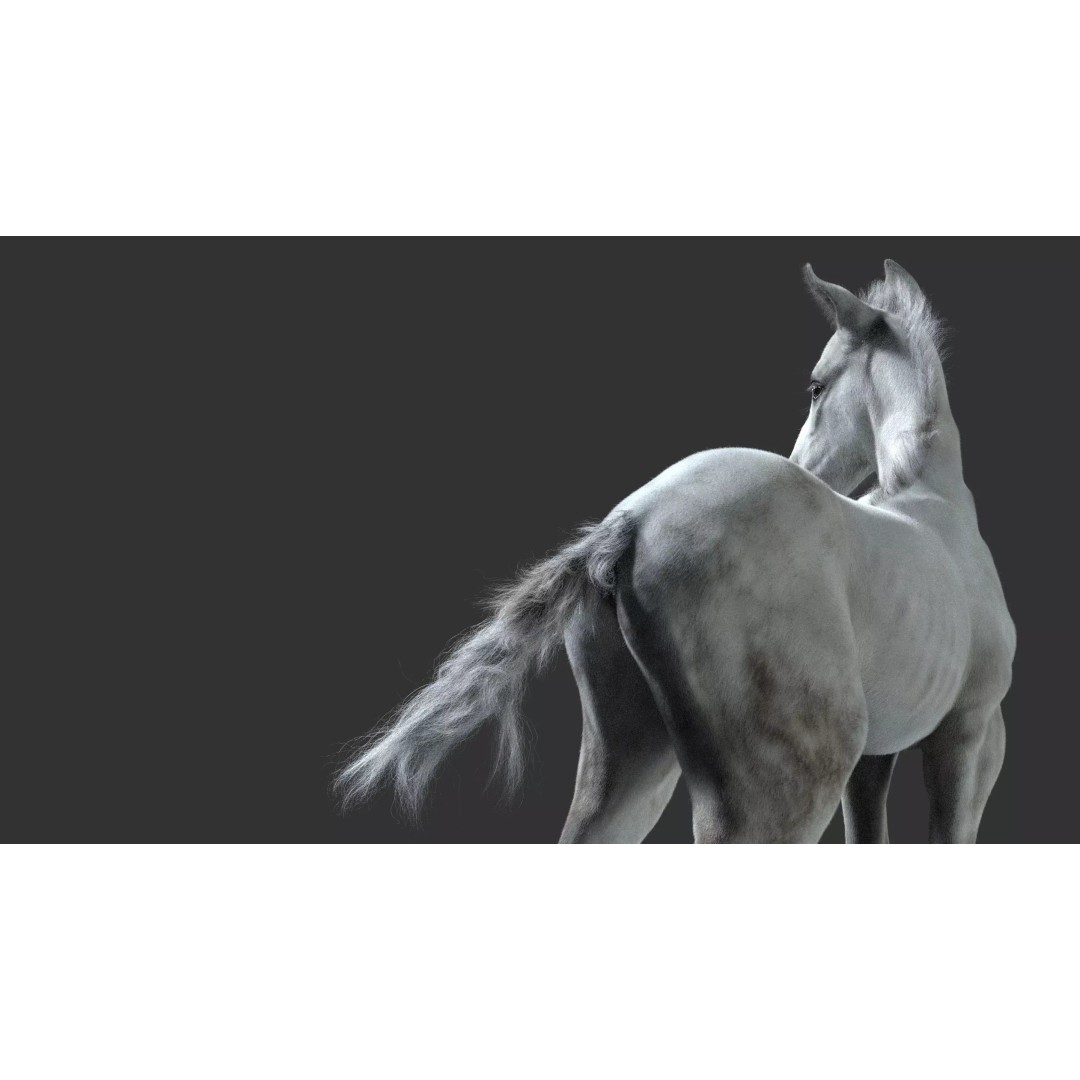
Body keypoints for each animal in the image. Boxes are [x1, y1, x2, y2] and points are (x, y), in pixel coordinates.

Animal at [337, 260, 1015, 843]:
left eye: (817, 385)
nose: (803, 463)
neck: (934, 503)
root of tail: (630, 522)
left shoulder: (883, 754)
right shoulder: (968, 732)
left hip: (630, 758)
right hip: (786, 782)